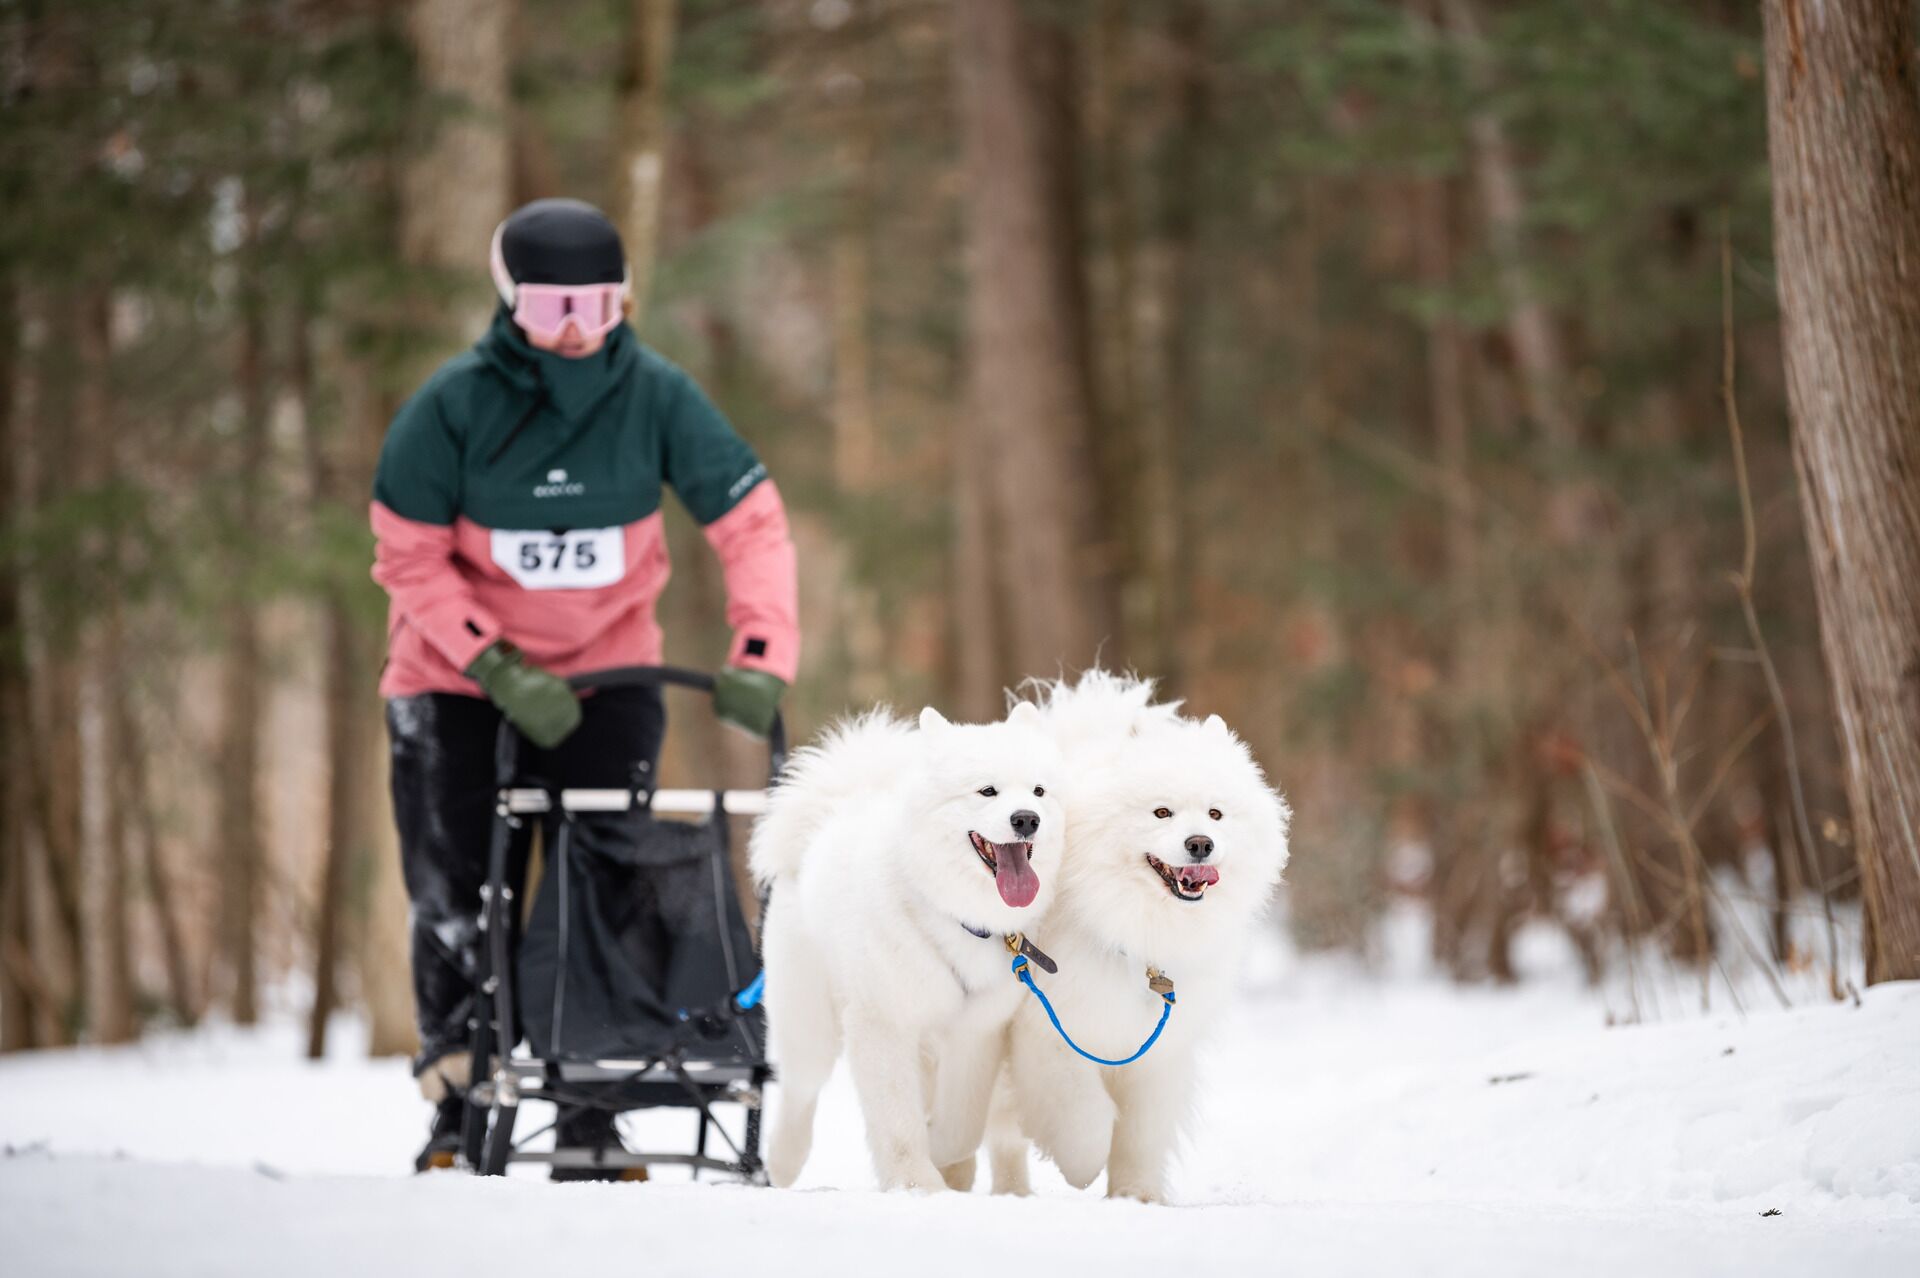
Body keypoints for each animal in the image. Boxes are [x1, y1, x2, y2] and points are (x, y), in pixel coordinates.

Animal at [744, 698, 1067, 1182]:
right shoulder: (883, 1022)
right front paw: (917, 1183)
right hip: (810, 1022)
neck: (957, 917)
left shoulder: (975, 1035)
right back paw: (783, 1162)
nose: (1027, 819)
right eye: (987, 791)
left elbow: (962, 1125)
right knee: (799, 1092)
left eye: (1039, 792)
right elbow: (898, 1122)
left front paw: (940, 1155)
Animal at [990, 671, 1290, 1197]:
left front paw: (1137, 1196)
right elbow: (1083, 1112)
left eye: (1215, 815)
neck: (1141, 935)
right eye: (1162, 813)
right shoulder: (1052, 1033)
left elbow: (1141, 1136)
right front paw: (1083, 1165)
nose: (1200, 844)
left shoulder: (1158, 1056)